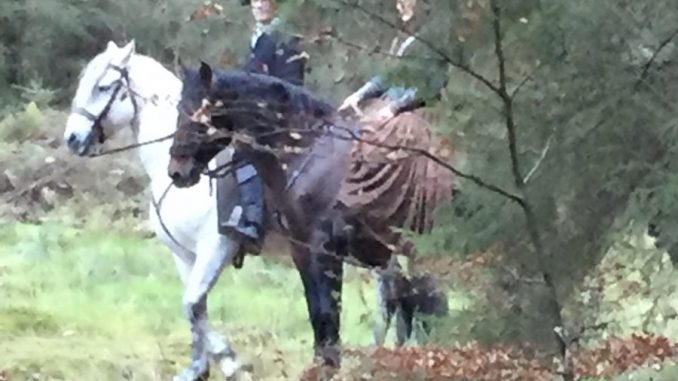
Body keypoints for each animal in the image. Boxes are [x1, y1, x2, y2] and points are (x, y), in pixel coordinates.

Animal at [63, 39, 250, 380]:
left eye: (103, 86)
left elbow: (191, 304)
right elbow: (195, 308)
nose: (72, 138)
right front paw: (197, 367)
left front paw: (228, 361)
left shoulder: (215, 247)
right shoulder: (185, 255)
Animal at [169, 62, 456, 368]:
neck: (307, 152)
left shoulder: (325, 251)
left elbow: (329, 313)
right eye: (179, 107)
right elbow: (317, 313)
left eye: (201, 110)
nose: (177, 171)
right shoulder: (302, 250)